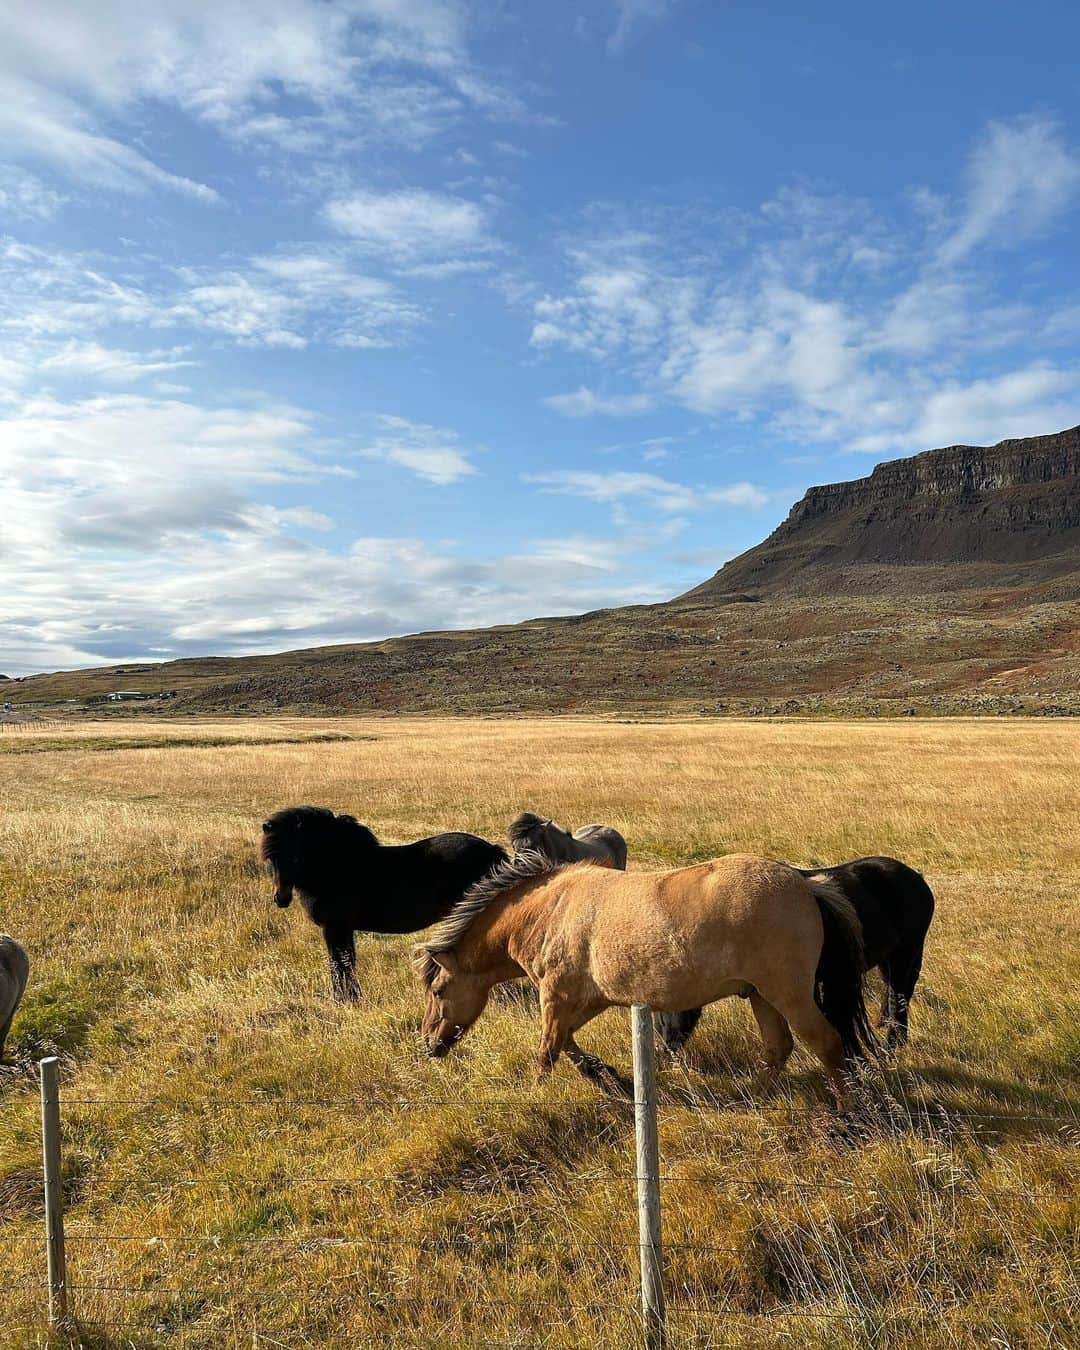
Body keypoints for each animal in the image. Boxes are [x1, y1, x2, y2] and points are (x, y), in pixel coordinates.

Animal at [260, 799, 507, 1004]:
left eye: (294, 857)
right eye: (270, 858)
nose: (280, 899)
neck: (338, 866)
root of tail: (492, 850)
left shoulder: (335, 927)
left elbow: (340, 964)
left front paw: (345, 999)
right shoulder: (341, 929)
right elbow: (344, 962)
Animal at [415, 853, 874, 1107]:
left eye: (438, 990)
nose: (429, 1045)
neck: (549, 910)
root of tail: (806, 883)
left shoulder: (556, 997)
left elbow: (547, 1053)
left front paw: (537, 1096)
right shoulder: (586, 1001)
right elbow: (569, 1044)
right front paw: (607, 1076)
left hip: (788, 994)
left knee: (827, 1044)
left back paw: (847, 1114)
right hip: (761, 995)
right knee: (778, 1050)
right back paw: (756, 1097)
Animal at [653, 858, 934, 1058]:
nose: (666, 1048)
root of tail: (916, 878)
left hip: (906, 956)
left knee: (900, 998)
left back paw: (891, 1048)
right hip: (888, 962)